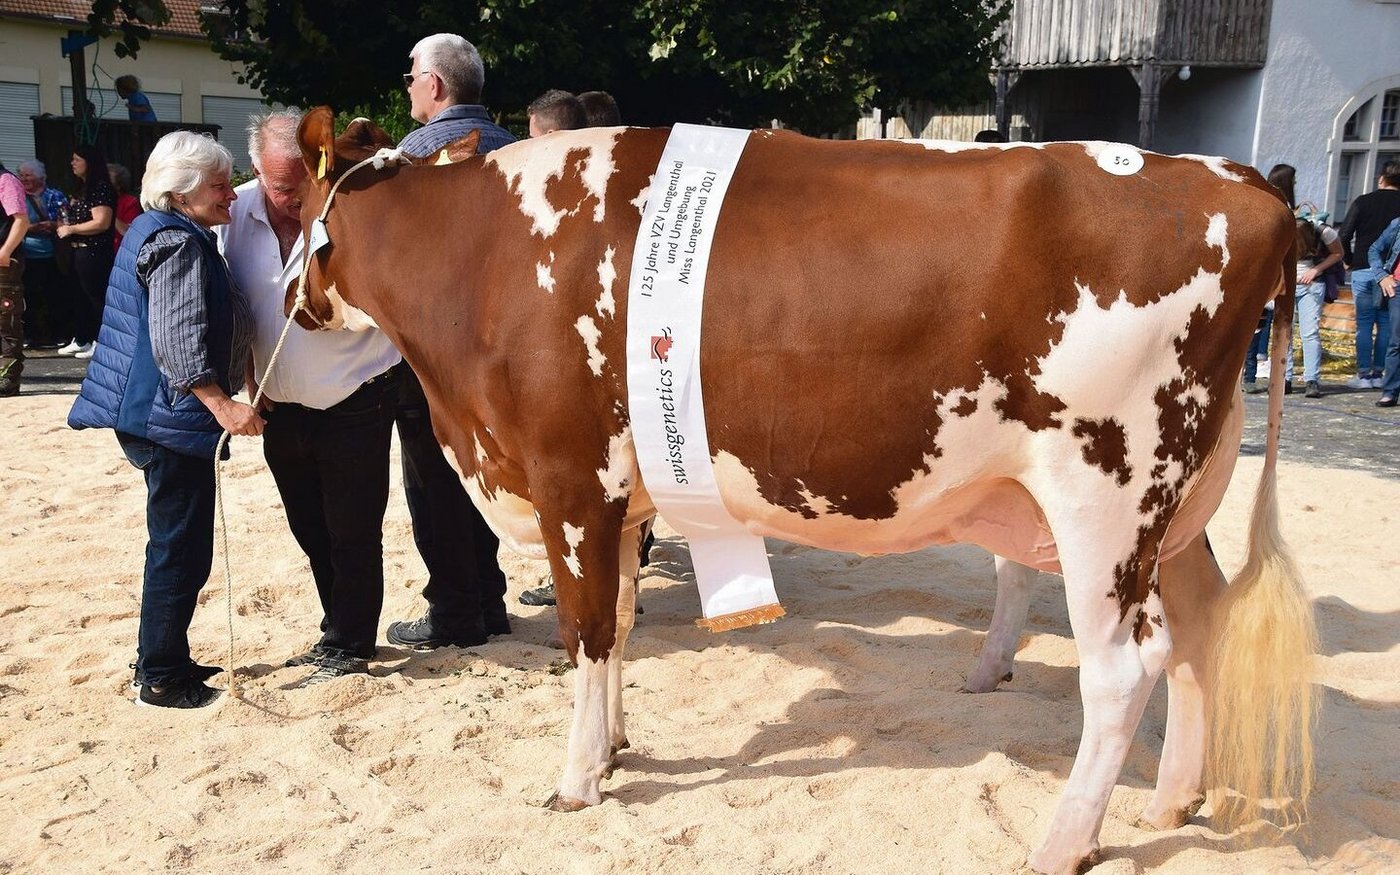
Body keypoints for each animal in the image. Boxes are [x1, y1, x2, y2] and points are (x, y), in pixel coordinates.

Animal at [285, 107, 1314, 874]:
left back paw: (1062, 843)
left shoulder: (568, 480)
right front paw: (615, 743)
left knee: (1124, 667)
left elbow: (583, 632)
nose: (293, 303)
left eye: (296, 213)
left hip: (1106, 488)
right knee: (1198, 631)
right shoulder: (622, 495)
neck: (484, 257)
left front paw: (578, 778)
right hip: (1177, 506)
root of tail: (1238, 181)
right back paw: (1173, 798)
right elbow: (619, 621)